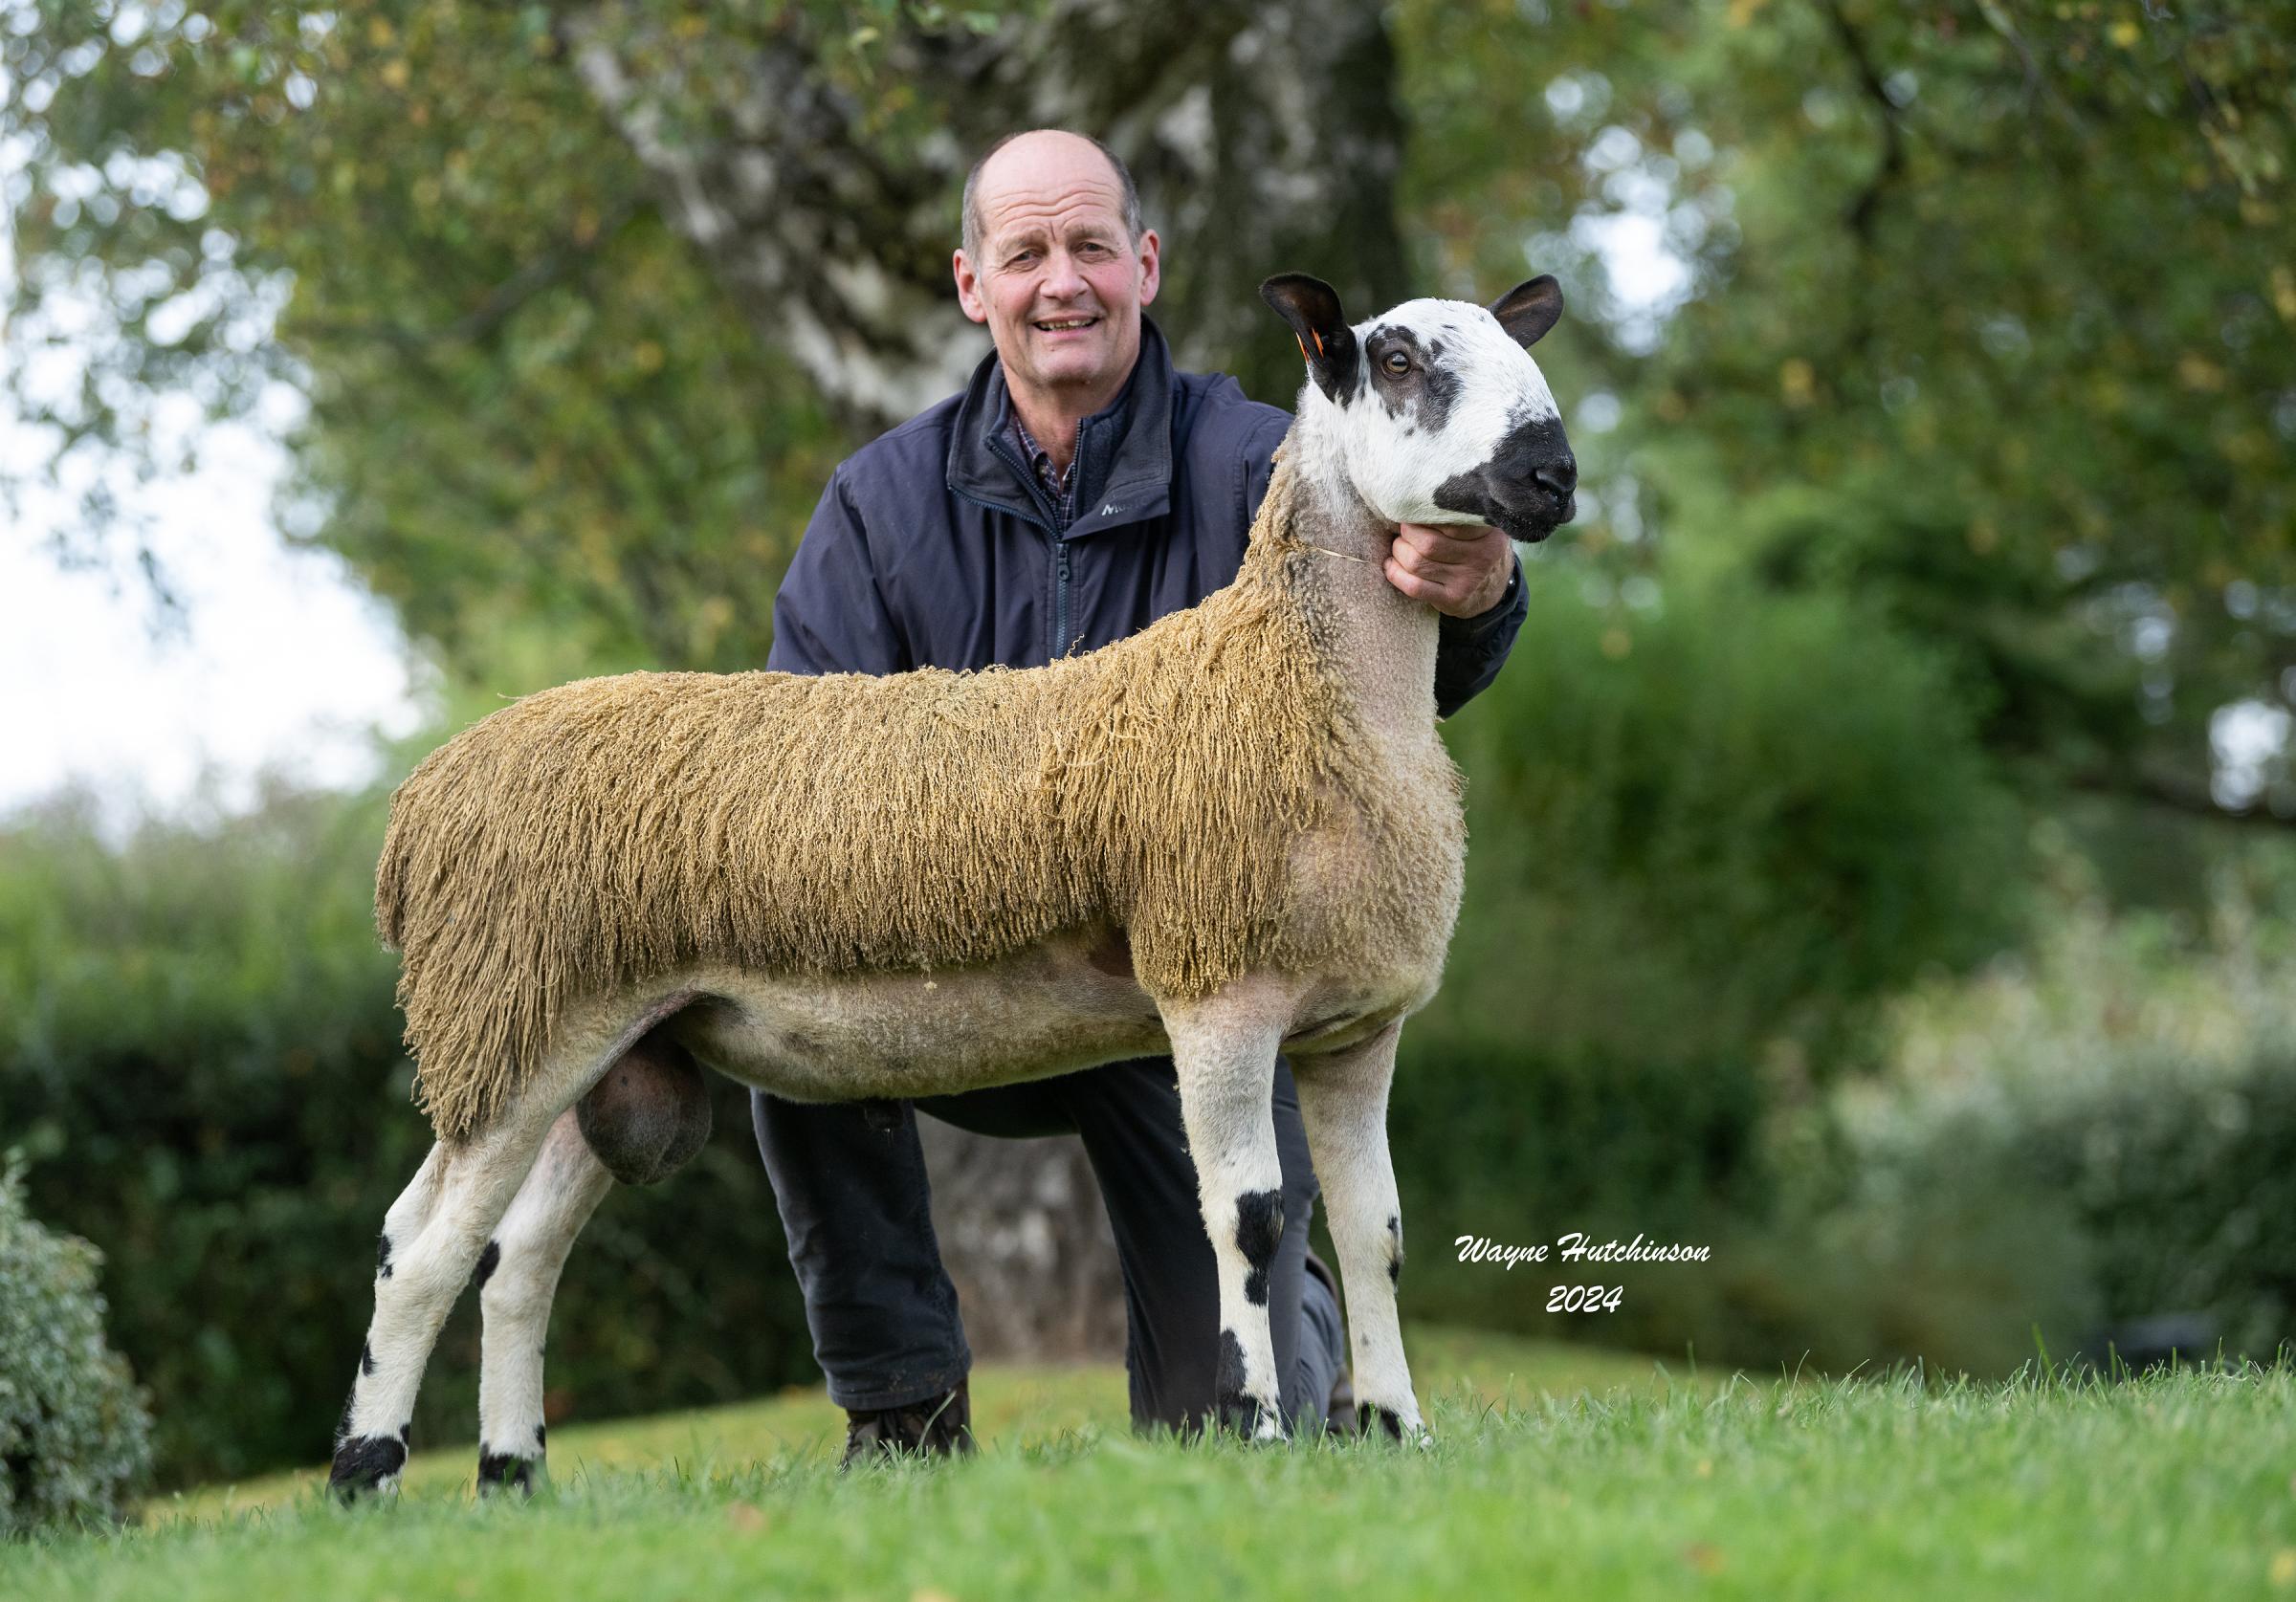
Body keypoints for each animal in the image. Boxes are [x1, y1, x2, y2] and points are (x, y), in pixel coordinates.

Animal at [328, 268, 1579, 1487]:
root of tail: (422, 802)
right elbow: (1252, 1226)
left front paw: (1402, 1433)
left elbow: (1377, 1232)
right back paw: (365, 1474)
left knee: (516, 1257)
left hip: (610, 1040)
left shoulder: (1355, 1026)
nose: (1553, 474)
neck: (1298, 683)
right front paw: (1260, 1428)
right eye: (1399, 360)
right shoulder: (1215, 990)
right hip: (513, 1021)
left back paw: (512, 1477)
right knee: (417, 1249)